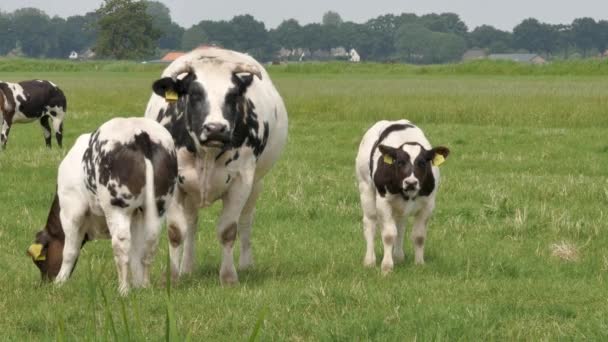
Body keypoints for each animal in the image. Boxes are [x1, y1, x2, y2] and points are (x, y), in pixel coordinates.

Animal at [26, 117, 178, 294]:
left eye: (40, 262)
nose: (46, 283)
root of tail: (139, 132)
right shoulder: (136, 215)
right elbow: (136, 251)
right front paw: (138, 285)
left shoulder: (71, 210)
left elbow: (69, 250)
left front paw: (60, 282)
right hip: (159, 204)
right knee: (150, 241)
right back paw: (145, 286)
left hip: (117, 207)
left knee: (121, 243)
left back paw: (123, 289)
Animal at [144, 46, 288, 286]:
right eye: (194, 93)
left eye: (233, 95)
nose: (215, 129)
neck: (207, 154)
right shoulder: (173, 181)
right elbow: (176, 231)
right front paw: (172, 277)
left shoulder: (241, 181)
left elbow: (228, 230)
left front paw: (229, 277)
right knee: (191, 223)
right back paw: (188, 267)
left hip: (256, 184)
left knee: (246, 220)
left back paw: (246, 264)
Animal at [354, 120, 448, 276]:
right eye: (399, 162)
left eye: (422, 163)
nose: (411, 182)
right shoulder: (384, 202)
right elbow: (388, 235)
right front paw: (386, 267)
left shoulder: (428, 205)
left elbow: (419, 236)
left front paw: (419, 264)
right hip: (365, 187)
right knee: (370, 223)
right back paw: (369, 261)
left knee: (401, 225)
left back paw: (398, 257)